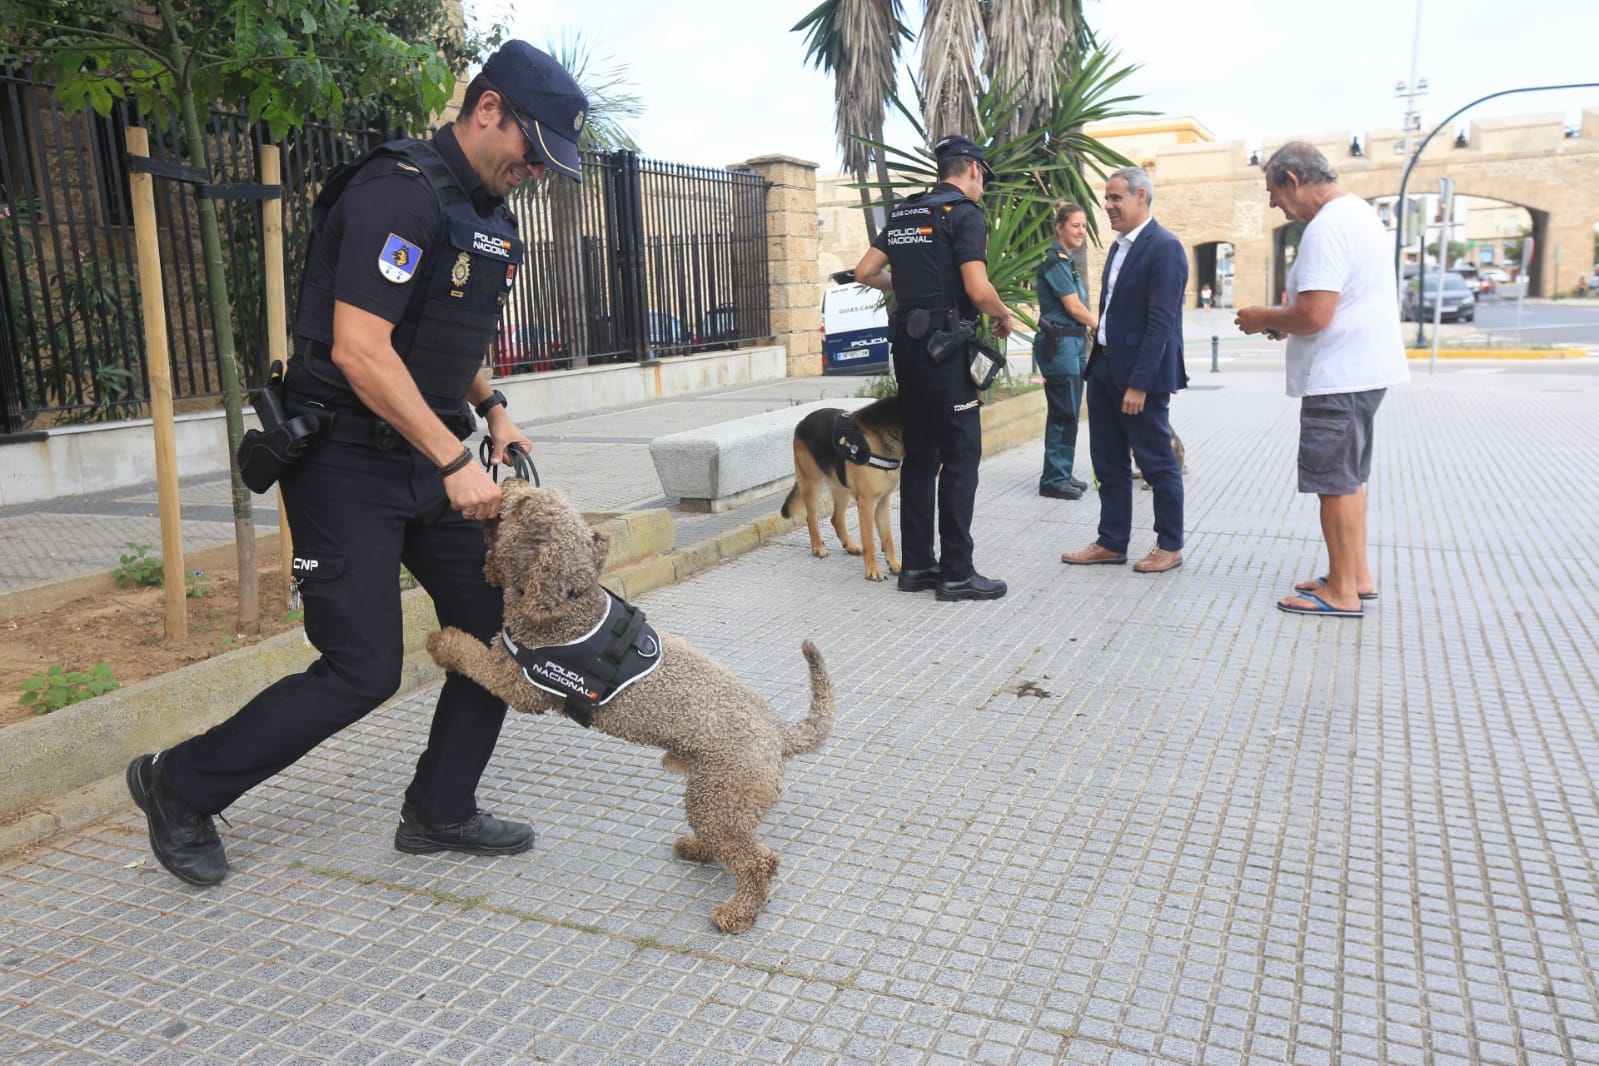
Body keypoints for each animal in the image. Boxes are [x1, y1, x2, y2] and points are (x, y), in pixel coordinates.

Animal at [428, 482, 837, 933]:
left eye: (521, 505)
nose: (504, 483)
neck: (569, 604)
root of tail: (778, 732)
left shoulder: (523, 686)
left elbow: (473, 656)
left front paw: (443, 641)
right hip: (716, 797)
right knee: (732, 843)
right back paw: (698, 849)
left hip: (719, 796)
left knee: (758, 860)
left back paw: (738, 912)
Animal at [780, 397, 908, 584]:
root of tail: (802, 422)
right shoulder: (867, 503)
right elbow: (870, 541)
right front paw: (872, 571)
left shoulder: (883, 502)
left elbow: (888, 538)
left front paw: (894, 564)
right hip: (812, 484)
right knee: (811, 517)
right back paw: (817, 547)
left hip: (841, 490)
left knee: (836, 518)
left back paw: (850, 546)